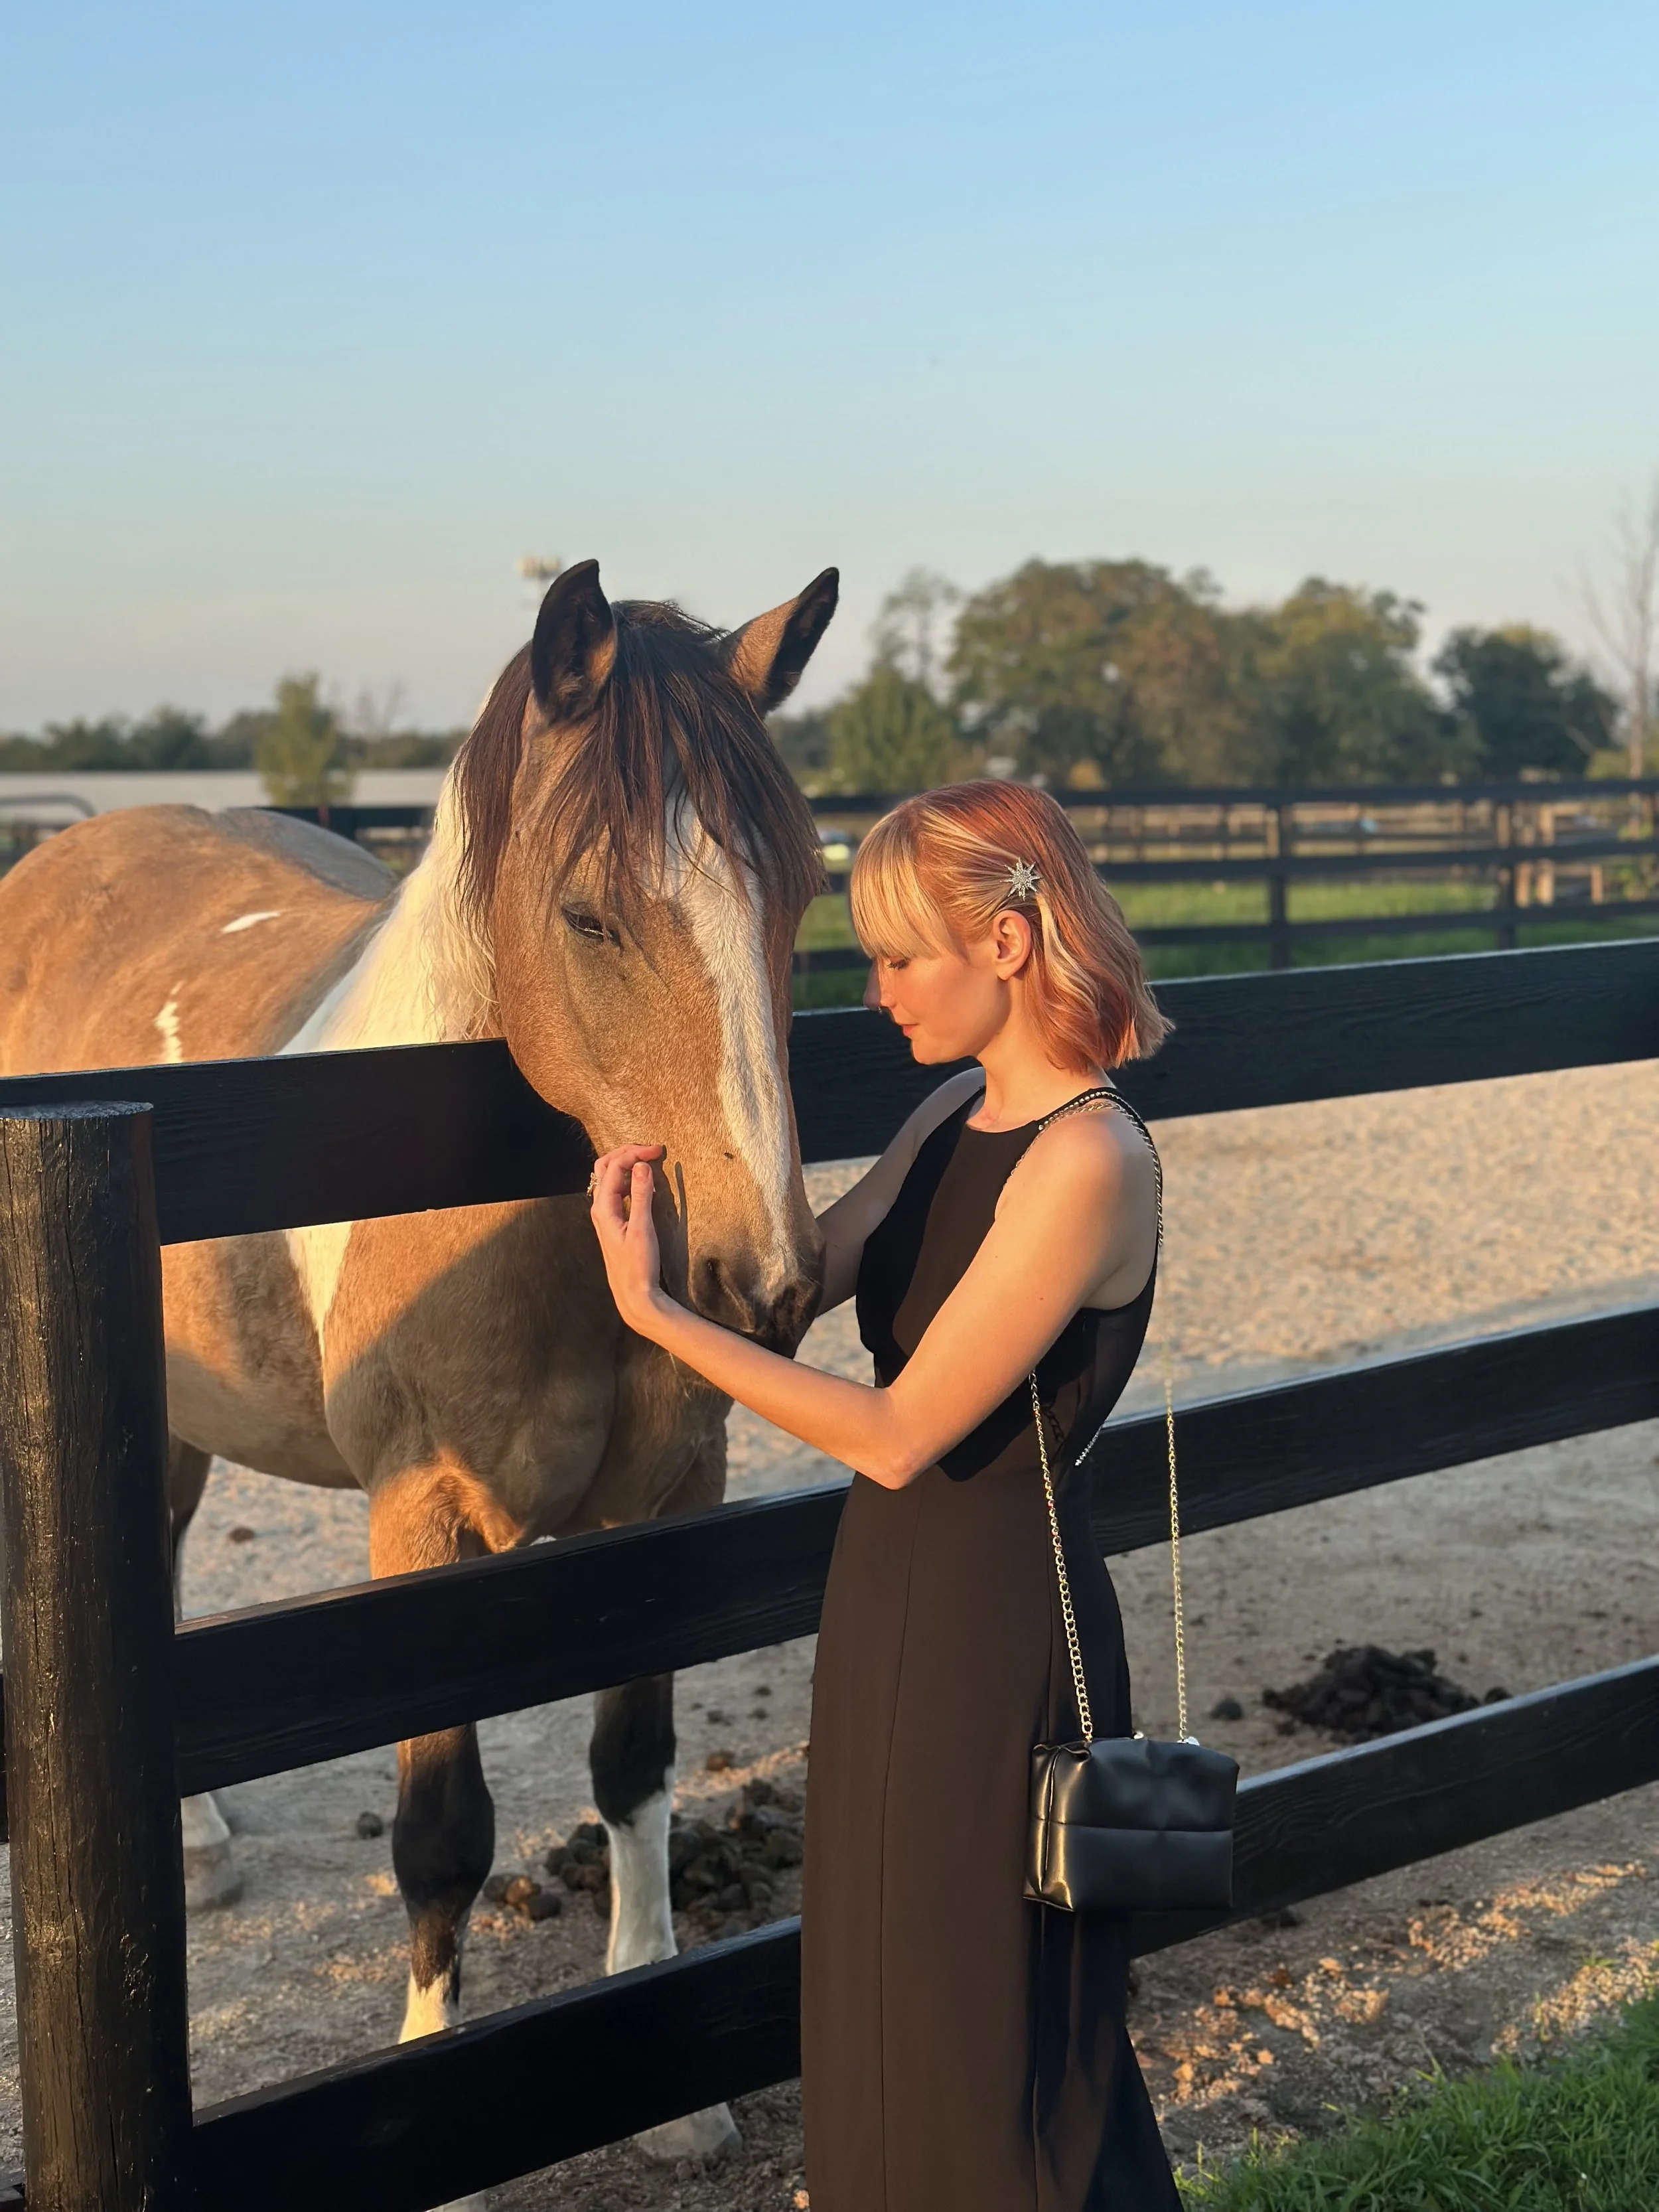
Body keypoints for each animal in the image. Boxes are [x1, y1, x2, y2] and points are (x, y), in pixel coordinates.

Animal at [0, 559, 837, 2159]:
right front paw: (421, 2081)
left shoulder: (669, 1499)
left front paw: (674, 2089)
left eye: (805, 888)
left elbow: (631, 1770)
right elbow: (440, 1833)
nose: (759, 1281)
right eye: (587, 914)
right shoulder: (424, 1522)